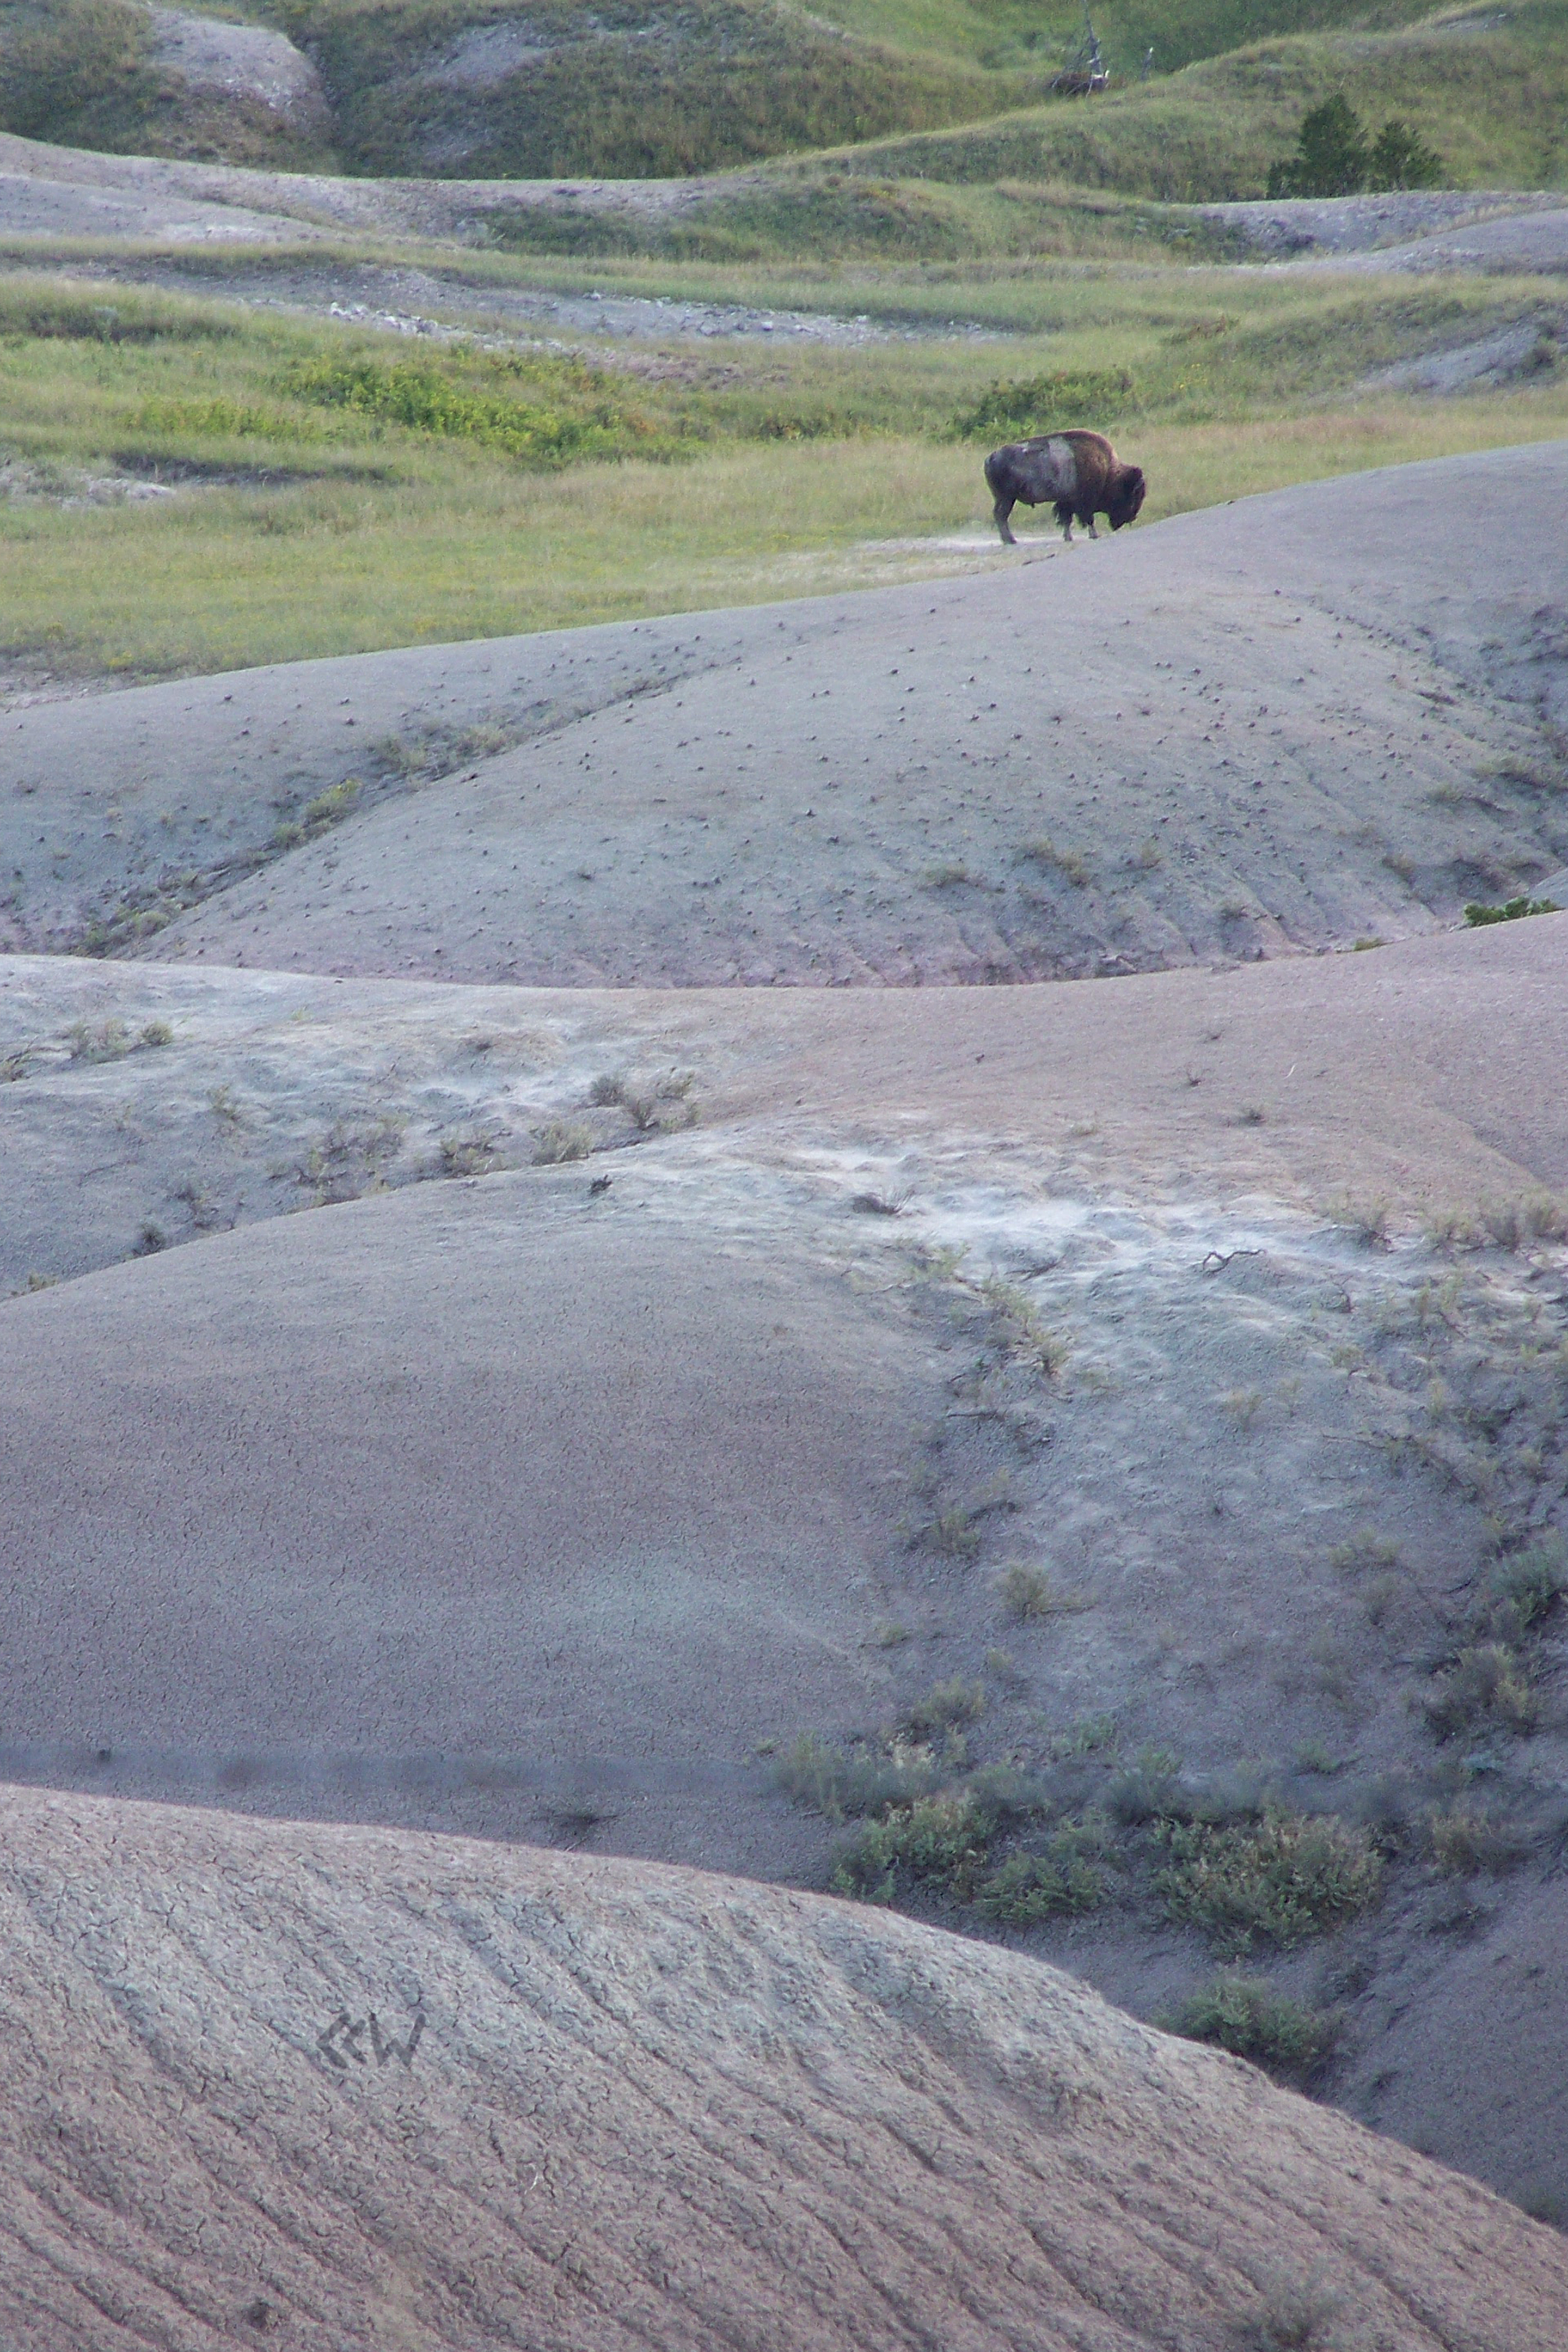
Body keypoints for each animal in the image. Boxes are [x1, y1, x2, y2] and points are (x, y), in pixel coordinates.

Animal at [987, 428, 1147, 546]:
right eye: (1134, 496)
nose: (1132, 517)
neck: (1108, 471)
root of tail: (991, 457)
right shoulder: (1084, 503)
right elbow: (1088, 519)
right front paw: (1094, 535)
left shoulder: (1066, 502)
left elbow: (1066, 520)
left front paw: (1068, 537)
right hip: (1006, 499)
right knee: (1001, 516)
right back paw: (1011, 540)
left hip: (1005, 499)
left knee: (1000, 516)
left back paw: (1009, 540)